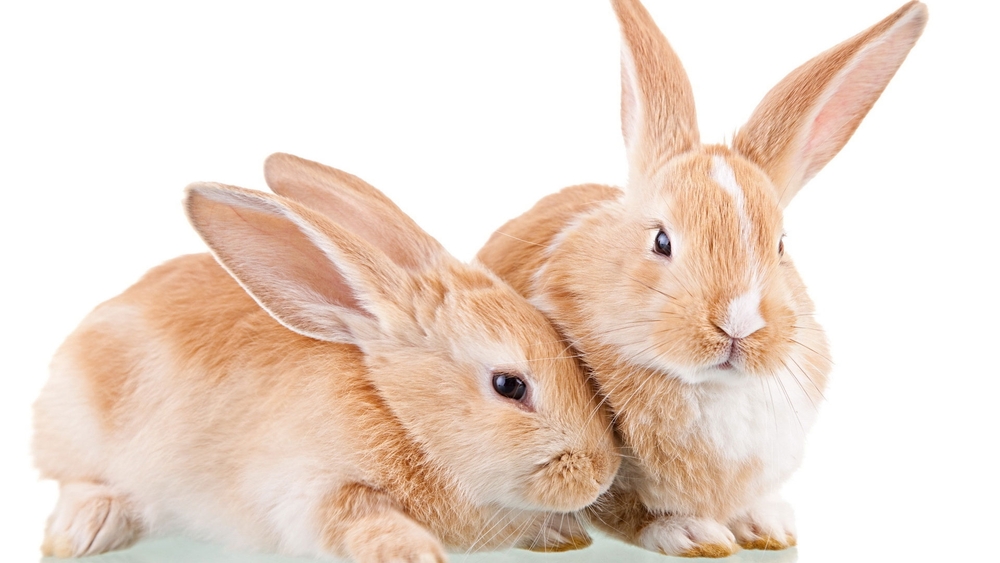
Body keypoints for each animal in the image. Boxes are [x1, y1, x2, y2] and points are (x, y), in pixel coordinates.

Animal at [33, 175, 620, 561]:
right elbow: (359, 518)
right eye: (509, 385)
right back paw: (83, 531)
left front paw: (562, 536)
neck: (400, 415)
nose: (601, 474)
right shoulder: (310, 490)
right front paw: (413, 553)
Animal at [476, 0, 927, 558]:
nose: (738, 323)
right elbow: (627, 509)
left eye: (781, 245)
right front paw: (695, 534)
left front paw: (768, 527)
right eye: (661, 241)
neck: (712, 388)